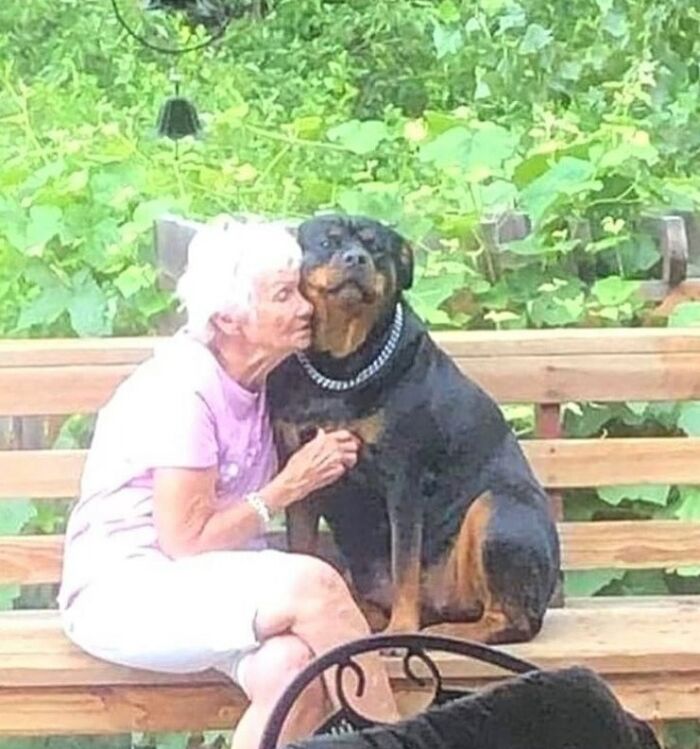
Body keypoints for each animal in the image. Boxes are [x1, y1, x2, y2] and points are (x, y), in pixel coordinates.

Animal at [266, 212, 560, 644]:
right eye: (327, 242)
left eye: (376, 248)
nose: (356, 258)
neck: (341, 368)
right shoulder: (301, 473)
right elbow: (303, 548)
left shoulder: (403, 478)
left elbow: (403, 563)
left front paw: (402, 629)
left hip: (500, 511)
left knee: (513, 619)